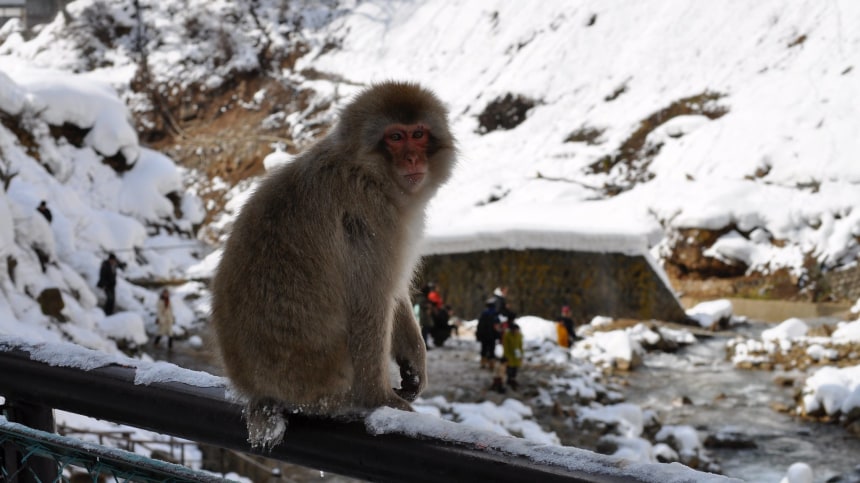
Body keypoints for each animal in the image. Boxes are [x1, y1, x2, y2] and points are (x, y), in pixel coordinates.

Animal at [210, 81, 456, 437]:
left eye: (419, 134)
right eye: (396, 137)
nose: (412, 157)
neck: (368, 172)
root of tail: (258, 391)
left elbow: (394, 293)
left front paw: (414, 360)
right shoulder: (369, 218)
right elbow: (370, 301)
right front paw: (379, 399)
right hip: (318, 382)